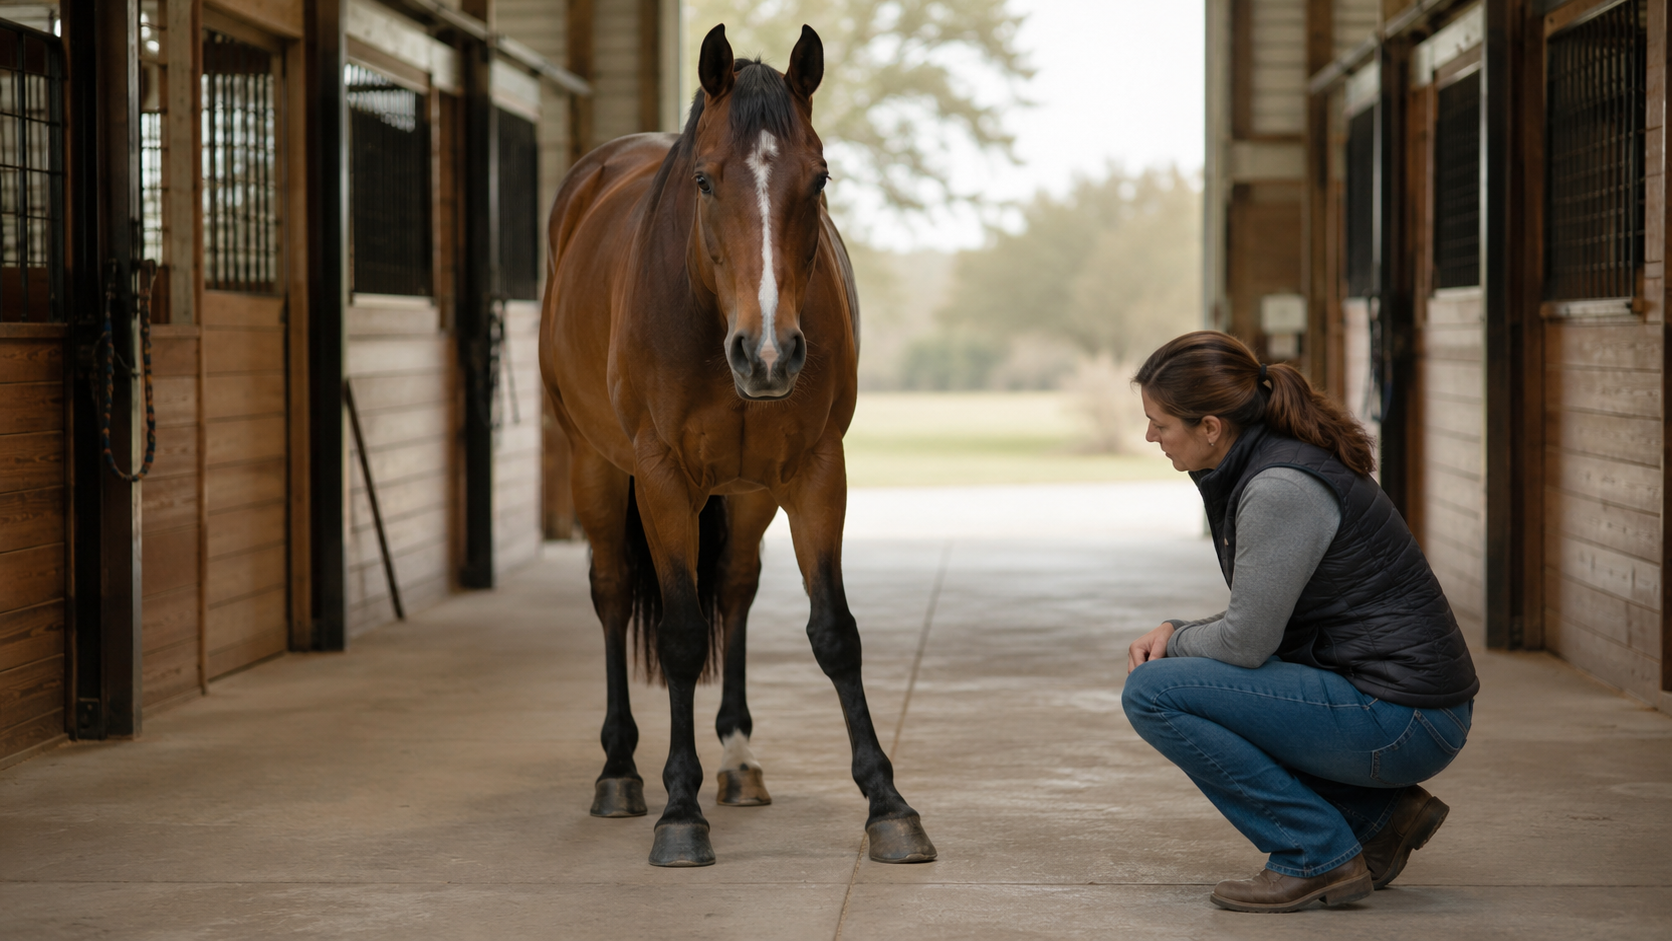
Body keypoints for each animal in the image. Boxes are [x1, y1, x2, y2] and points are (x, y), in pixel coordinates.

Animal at [537, 23, 937, 868]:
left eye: (818, 180)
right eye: (705, 181)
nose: (769, 354)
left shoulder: (816, 472)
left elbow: (834, 632)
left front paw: (888, 803)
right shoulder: (662, 479)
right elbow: (683, 635)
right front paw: (679, 810)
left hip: (749, 491)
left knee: (735, 587)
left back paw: (737, 759)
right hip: (597, 466)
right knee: (613, 591)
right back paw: (620, 769)